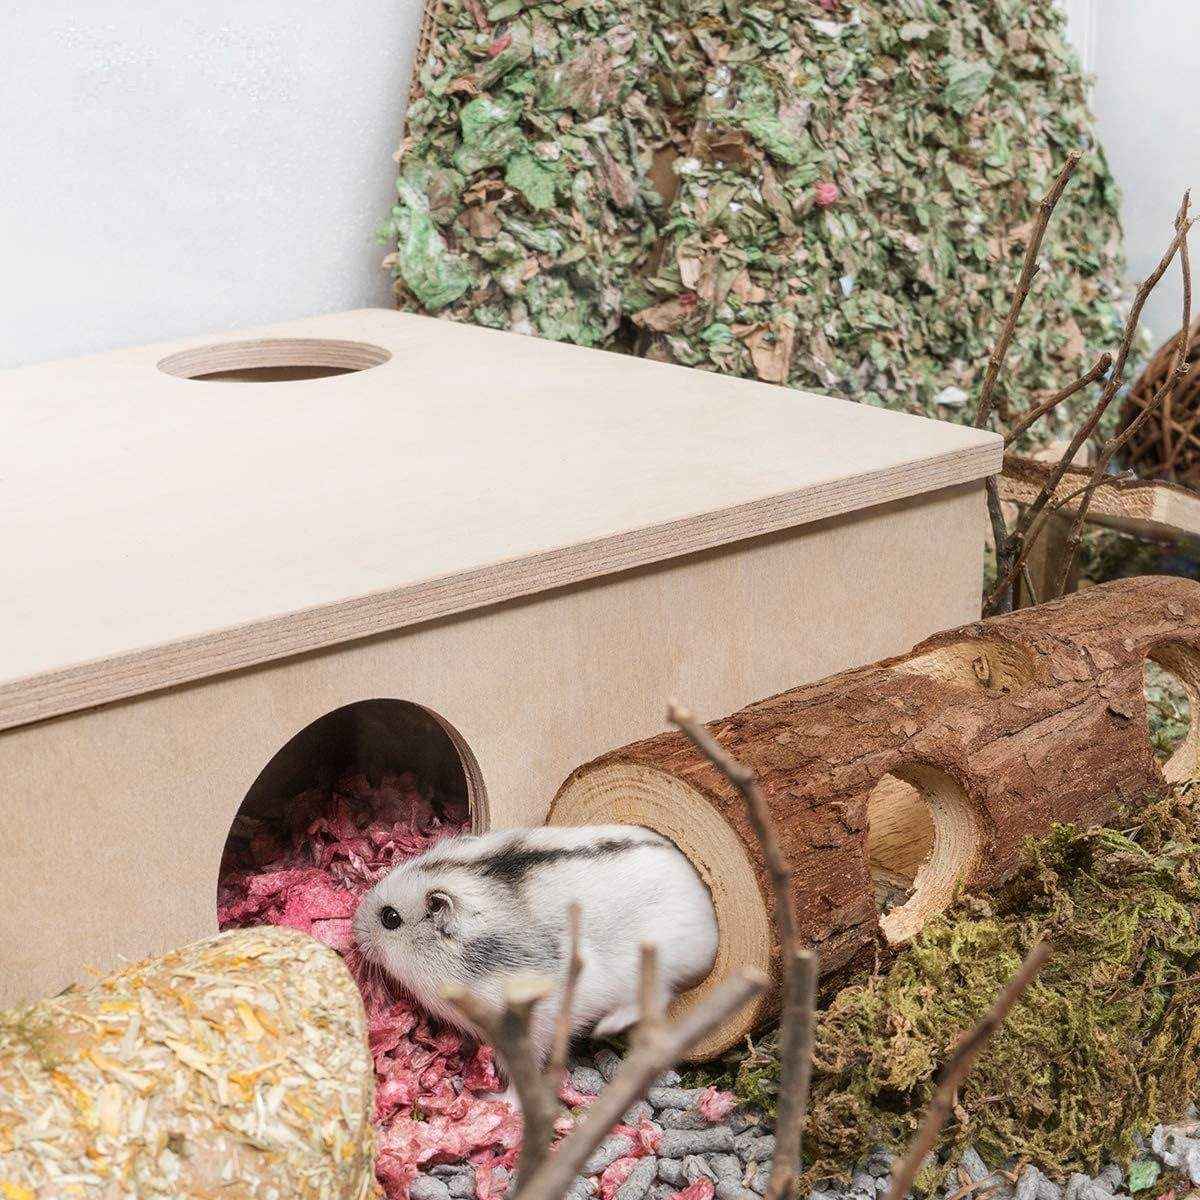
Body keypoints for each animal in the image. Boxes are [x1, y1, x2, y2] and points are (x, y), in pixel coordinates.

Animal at [353, 825, 719, 1066]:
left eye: (390, 918)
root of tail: (710, 921)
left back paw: (606, 1027)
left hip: (657, 963)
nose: (354, 931)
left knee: (657, 997)